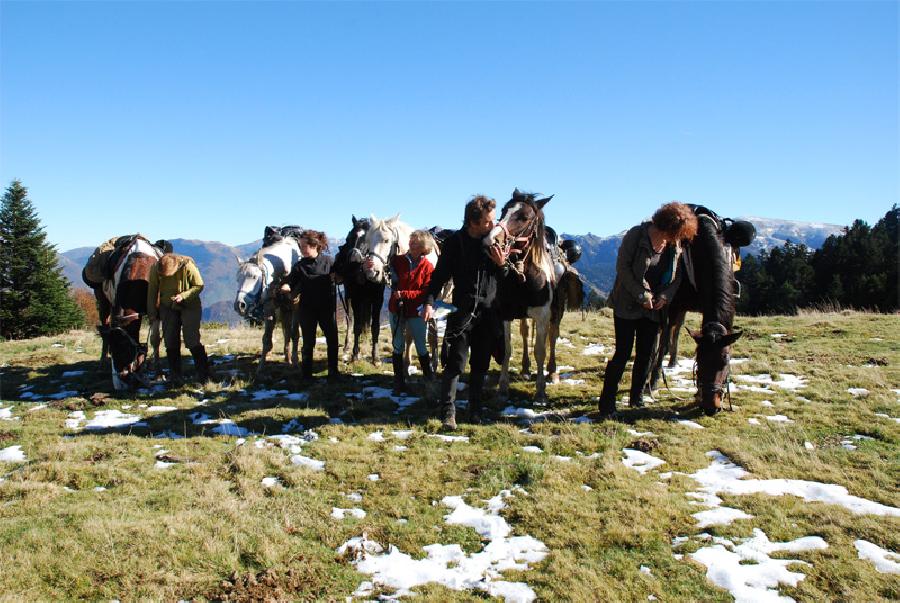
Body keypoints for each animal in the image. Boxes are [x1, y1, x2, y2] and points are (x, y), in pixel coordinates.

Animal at [83, 236, 163, 392]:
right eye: (113, 352)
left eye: (125, 349)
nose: (119, 386)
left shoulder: (157, 312)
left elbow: (155, 340)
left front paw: (158, 374)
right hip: (102, 302)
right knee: (104, 329)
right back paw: (102, 364)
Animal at [232, 235, 302, 372]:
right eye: (237, 279)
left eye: (254, 277)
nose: (240, 305)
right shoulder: (269, 307)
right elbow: (266, 338)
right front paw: (261, 365)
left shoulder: (295, 304)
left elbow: (295, 334)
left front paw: (296, 362)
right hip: (283, 309)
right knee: (285, 329)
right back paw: (286, 357)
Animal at [482, 191, 560, 404]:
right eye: (503, 210)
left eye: (524, 217)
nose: (490, 241)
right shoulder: (506, 315)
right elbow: (507, 349)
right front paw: (502, 388)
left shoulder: (542, 317)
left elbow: (540, 351)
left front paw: (540, 392)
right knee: (525, 333)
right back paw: (525, 368)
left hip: (556, 312)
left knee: (553, 335)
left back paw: (552, 372)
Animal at [648, 208, 752, 416]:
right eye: (700, 361)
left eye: (725, 362)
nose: (712, 408)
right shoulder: (671, 303)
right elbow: (662, 341)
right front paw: (654, 380)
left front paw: (697, 395)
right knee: (661, 332)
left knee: (677, 329)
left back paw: (673, 361)